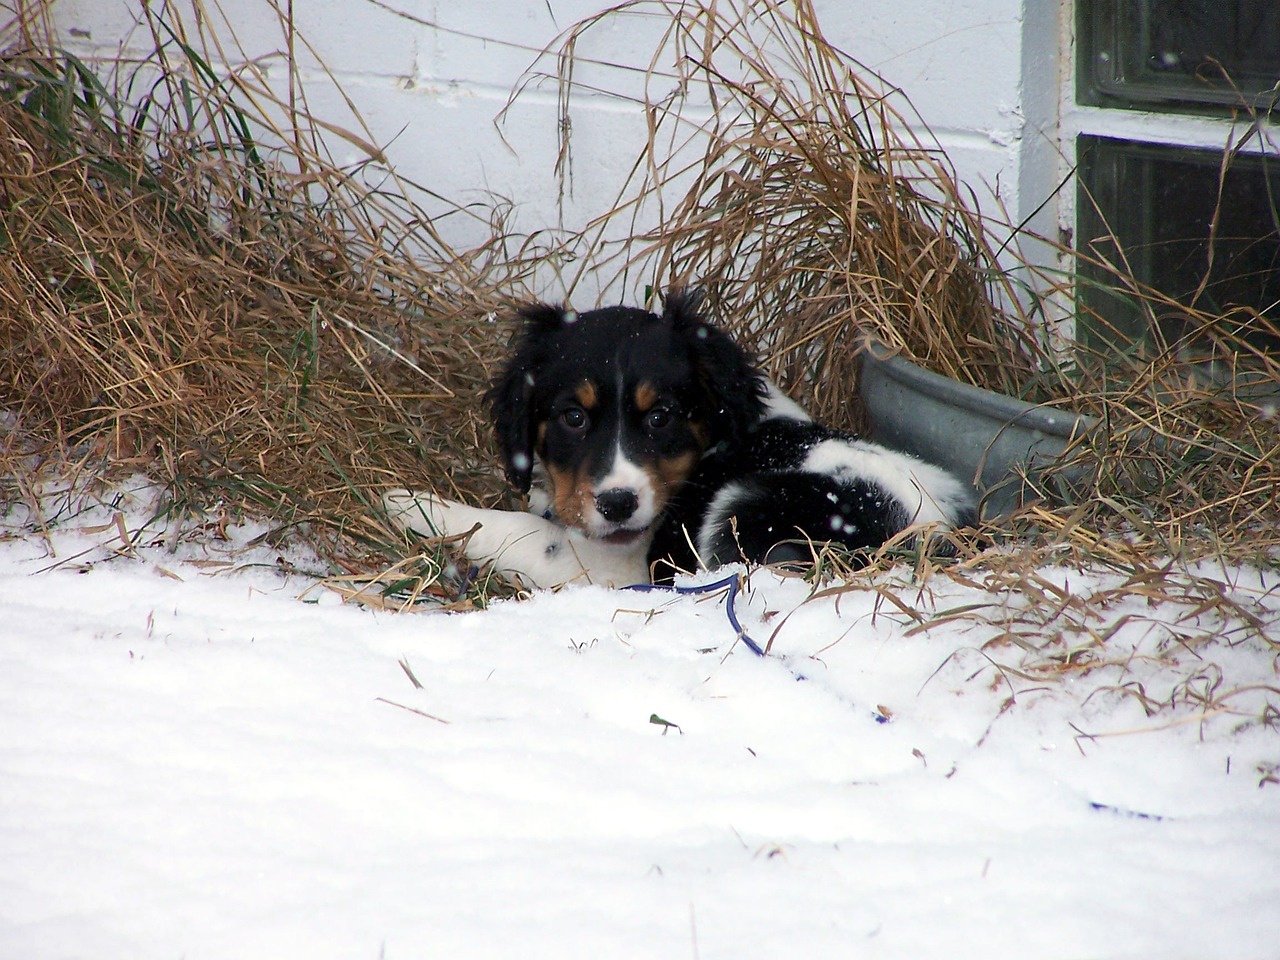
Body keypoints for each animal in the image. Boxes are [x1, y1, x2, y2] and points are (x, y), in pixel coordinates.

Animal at [384, 289, 972, 591]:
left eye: (661, 417)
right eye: (573, 417)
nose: (618, 504)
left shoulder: (606, 564)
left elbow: (514, 529)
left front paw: (410, 504)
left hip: (744, 507)